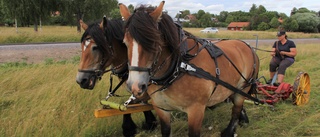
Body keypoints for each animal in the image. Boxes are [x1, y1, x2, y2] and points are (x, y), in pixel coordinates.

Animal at [120, 1, 260, 137]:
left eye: (154, 43)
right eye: (125, 42)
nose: (135, 86)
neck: (179, 66)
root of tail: (248, 46)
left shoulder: (196, 110)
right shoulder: (161, 109)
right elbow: (165, 131)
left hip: (243, 88)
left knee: (236, 110)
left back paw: (229, 131)